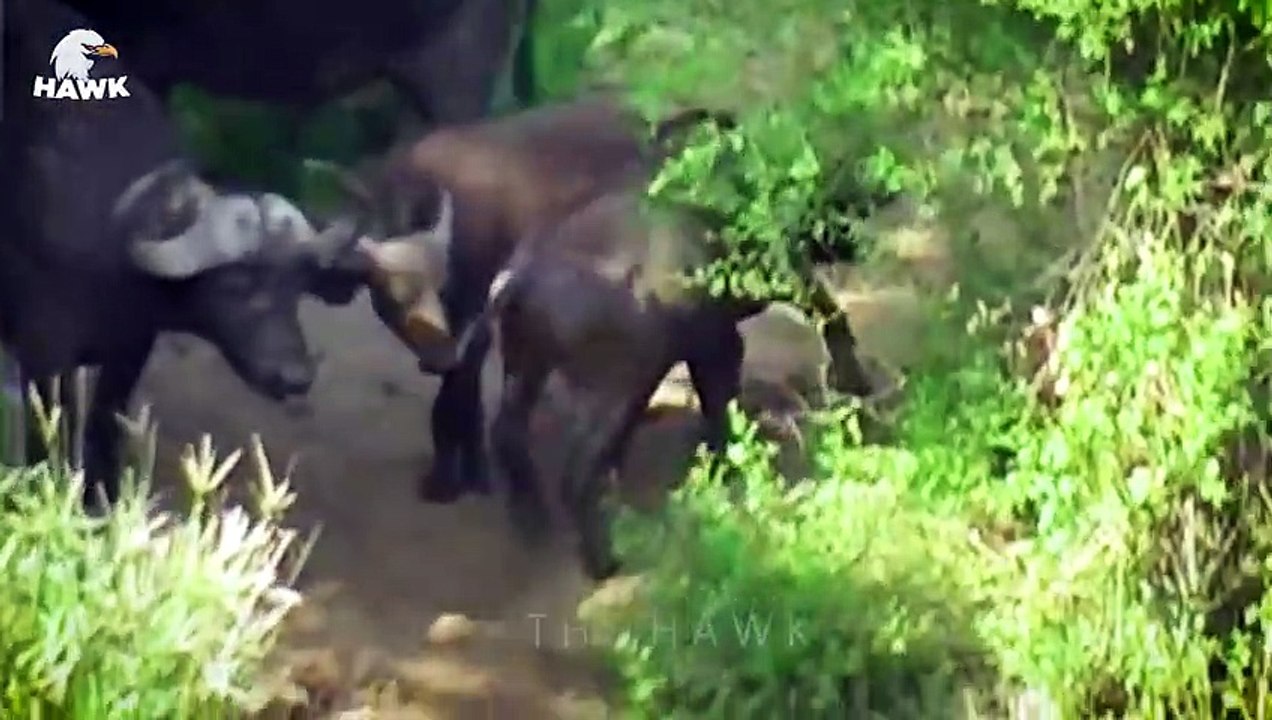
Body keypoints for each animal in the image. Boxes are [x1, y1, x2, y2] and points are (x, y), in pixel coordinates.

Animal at [1, 0, 366, 507]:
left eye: (296, 287)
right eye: (235, 285)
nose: (295, 377)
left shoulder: (129, 352)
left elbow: (103, 431)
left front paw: (101, 501)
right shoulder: (43, 354)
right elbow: (47, 436)